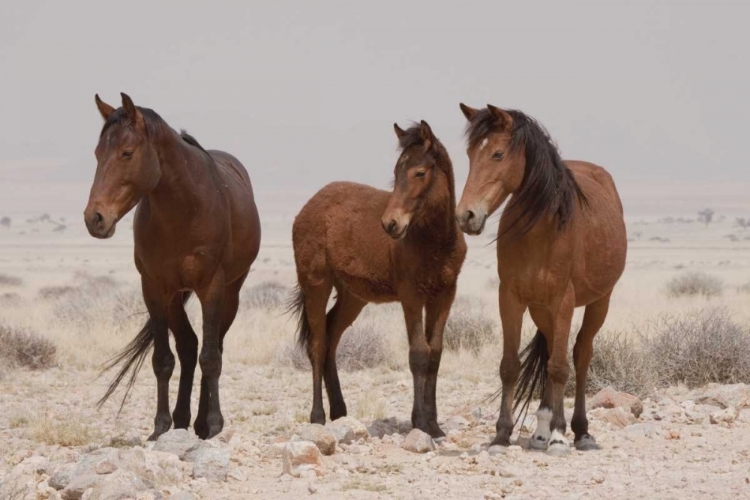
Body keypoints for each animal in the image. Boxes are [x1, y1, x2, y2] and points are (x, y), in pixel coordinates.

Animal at [84, 94, 262, 442]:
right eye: (98, 153)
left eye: (127, 153)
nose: (94, 218)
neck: (182, 210)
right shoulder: (154, 288)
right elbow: (164, 359)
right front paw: (160, 426)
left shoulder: (211, 286)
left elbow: (211, 357)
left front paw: (214, 424)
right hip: (176, 296)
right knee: (189, 346)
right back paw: (182, 419)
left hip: (231, 292)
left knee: (213, 345)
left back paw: (203, 422)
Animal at [290, 121, 468, 438]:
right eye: (396, 172)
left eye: (419, 172)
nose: (390, 224)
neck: (434, 240)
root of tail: (308, 207)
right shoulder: (411, 296)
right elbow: (418, 354)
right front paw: (420, 422)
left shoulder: (445, 294)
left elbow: (435, 354)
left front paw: (434, 426)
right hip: (316, 285)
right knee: (318, 344)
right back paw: (318, 416)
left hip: (352, 296)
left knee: (332, 340)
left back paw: (339, 412)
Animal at [458, 103, 628, 456]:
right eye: (469, 154)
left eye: (497, 153)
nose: (466, 216)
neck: (540, 229)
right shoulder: (511, 298)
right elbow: (510, 366)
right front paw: (501, 435)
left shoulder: (563, 300)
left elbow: (561, 367)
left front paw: (560, 436)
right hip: (541, 309)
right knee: (550, 350)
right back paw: (540, 432)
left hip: (598, 303)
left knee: (579, 355)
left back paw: (579, 432)